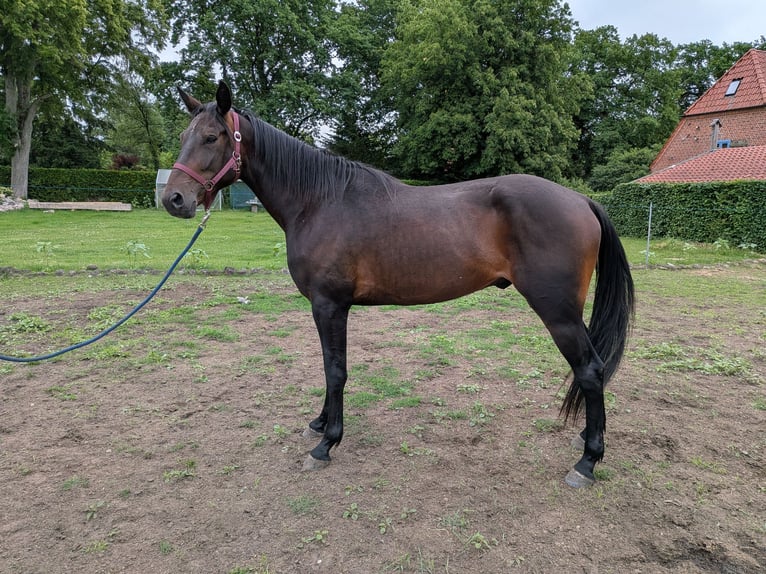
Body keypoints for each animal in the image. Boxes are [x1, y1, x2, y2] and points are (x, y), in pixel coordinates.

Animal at [162, 81, 634, 488]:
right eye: (185, 134)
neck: (319, 202)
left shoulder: (329, 305)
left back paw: (587, 461)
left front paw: (327, 442)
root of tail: (581, 199)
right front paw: (319, 423)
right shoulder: (327, 308)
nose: (174, 200)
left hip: (558, 312)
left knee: (590, 371)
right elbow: (329, 366)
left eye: (211, 137)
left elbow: (335, 370)